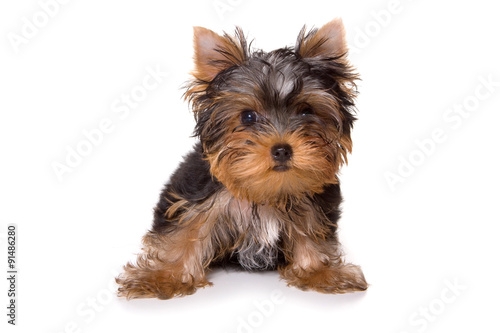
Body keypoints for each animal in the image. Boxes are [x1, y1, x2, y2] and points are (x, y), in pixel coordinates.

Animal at [116, 18, 368, 298]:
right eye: (248, 116)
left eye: (306, 111)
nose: (282, 149)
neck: (265, 190)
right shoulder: (200, 196)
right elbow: (186, 230)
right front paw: (162, 276)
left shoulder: (313, 204)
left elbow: (311, 231)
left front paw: (320, 270)